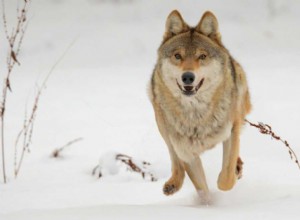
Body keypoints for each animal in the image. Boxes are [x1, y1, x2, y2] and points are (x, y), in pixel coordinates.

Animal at [149, 9, 252, 199]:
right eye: (178, 56)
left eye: (202, 56)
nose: (188, 77)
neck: (197, 115)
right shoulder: (186, 152)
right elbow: (202, 189)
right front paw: (207, 203)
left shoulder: (231, 131)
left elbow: (226, 179)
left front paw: (230, 176)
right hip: (163, 128)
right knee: (175, 160)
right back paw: (172, 184)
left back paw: (238, 166)